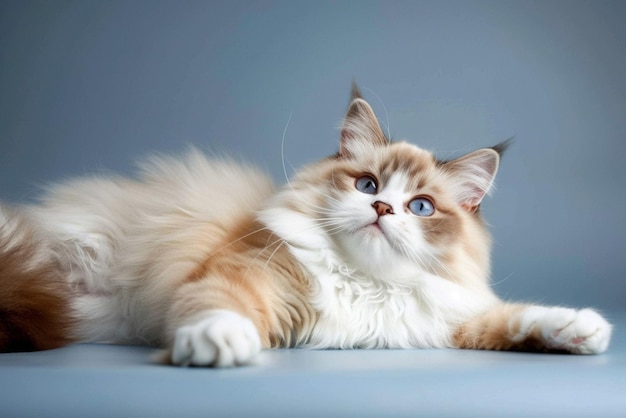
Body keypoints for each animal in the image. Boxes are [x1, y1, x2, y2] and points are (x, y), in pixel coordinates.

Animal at [0, 86, 608, 368]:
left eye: (420, 208)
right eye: (367, 185)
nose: (382, 210)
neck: (367, 284)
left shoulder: (444, 322)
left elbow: (517, 318)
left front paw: (581, 329)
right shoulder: (244, 274)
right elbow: (219, 307)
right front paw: (219, 341)